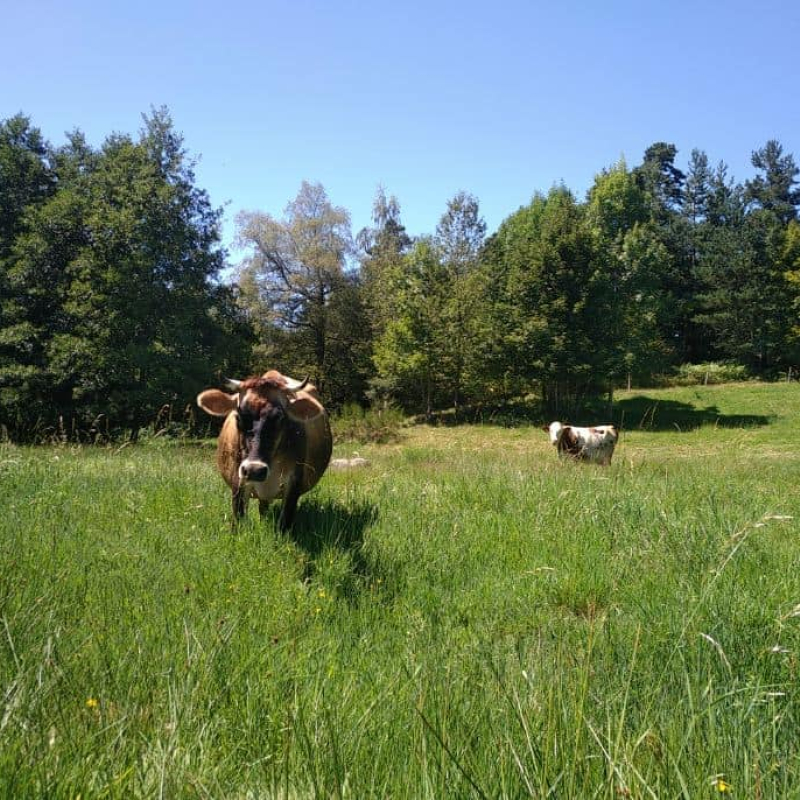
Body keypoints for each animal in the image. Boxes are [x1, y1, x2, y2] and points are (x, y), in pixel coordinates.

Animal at [197, 370, 332, 532]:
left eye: (280, 417)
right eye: (239, 416)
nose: (254, 470)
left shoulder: (294, 484)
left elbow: (284, 523)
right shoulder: (238, 480)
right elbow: (238, 520)